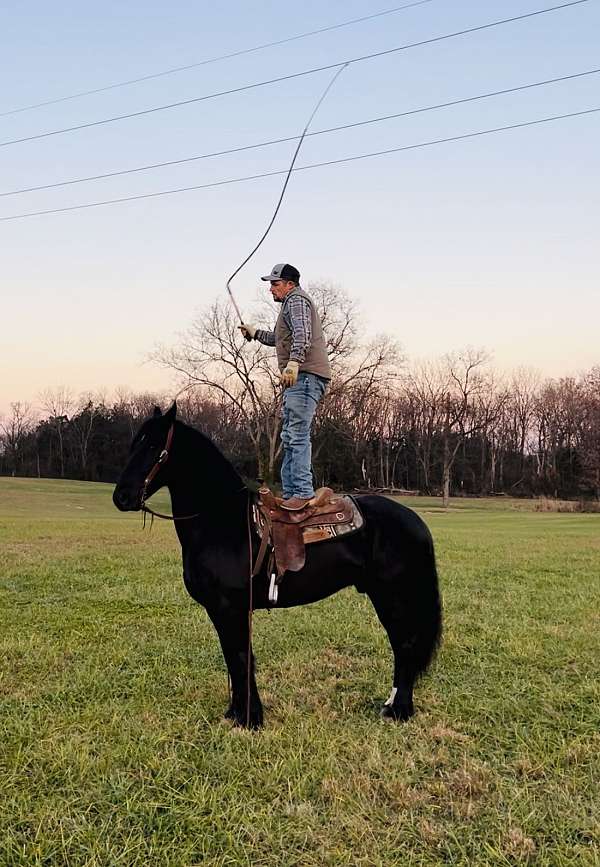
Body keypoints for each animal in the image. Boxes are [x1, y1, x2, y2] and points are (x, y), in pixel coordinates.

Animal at [113, 404, 440, 728]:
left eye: (154, 446)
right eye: (133, 445)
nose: (121, 497)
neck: (221, 521)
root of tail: (415, 520)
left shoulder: (230, 607)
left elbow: (240, 657)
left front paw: (249, 718)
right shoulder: (223, 610)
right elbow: (233, 658)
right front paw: (236, 713)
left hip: (392, 597)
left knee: (404, 646)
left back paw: (399, 710)